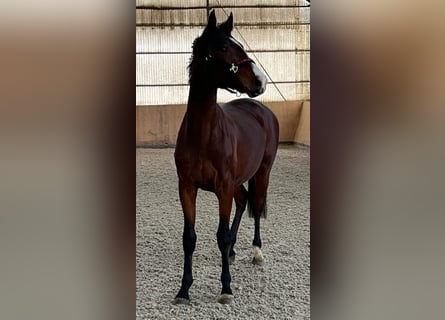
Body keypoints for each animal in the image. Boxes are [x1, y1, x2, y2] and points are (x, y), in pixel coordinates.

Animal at [173, 10, 278, 304]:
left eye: (238, 45)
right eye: (222, 48)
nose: (261, 81)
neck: (203, 135)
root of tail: (262, 111)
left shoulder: (222, 189)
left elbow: (220, 236)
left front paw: (226, 288)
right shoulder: (187, 188)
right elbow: (189, 237)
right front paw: (184, 290)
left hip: (262, 173)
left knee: (257, 204)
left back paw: (256, 252)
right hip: (237, 183)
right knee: (243, 201)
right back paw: (232, 251)